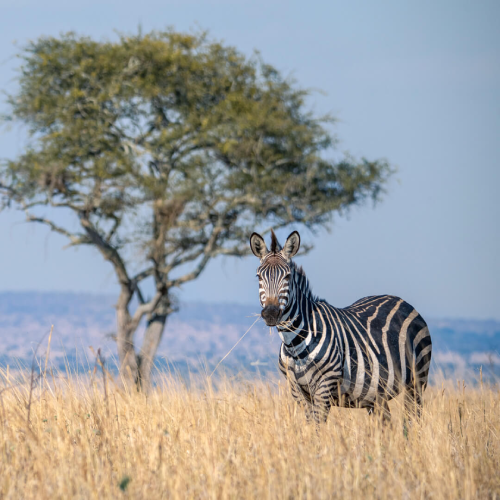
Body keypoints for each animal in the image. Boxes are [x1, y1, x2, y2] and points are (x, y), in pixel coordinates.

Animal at [252, 229, 432, 422]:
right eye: (258, 276)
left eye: (287, 276)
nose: (271, 314)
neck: (294, 343)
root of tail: (402, 301)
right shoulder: (296, 389)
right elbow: (309, 426)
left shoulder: (324, 385)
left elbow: (317, 425)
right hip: (376, 394)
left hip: (417, 381)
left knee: (413, 419)